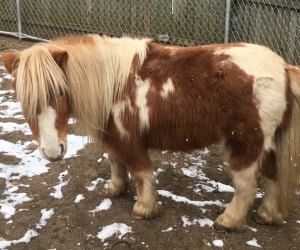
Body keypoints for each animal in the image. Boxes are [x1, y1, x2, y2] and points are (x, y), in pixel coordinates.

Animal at [1, 34, 300, 231]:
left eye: (61, 91)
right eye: (22, 99)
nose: (53, 152)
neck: (111, 82)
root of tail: (283, 69)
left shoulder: (129, 140)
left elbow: (141, 173)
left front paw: (144, 209)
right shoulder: (113, 137)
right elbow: (115, 163)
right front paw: (115, 189)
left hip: (246, 143)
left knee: (247, 183)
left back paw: (229, 221)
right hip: (266, 144)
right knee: (272, 177)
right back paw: (268, 215)